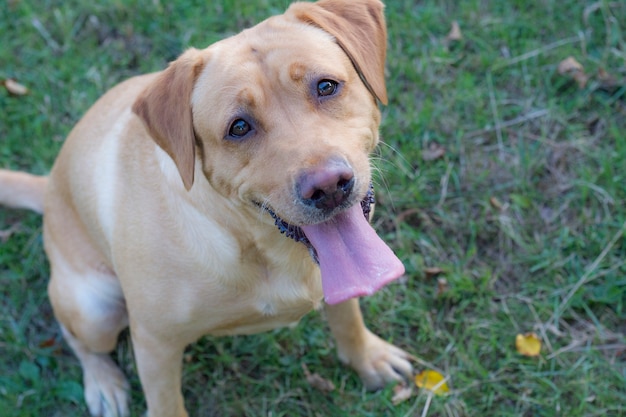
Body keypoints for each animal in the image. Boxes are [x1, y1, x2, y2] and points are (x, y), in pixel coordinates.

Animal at [0, 0, 412, 414]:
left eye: (326, 86)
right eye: (239, 127)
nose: (328, 187)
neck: (257, 244)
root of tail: (49, 184)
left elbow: (347, 315)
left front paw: (368, 357)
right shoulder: (154, 343)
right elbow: (166, 404)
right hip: (94, 311)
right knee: (78, 340)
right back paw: (103, 382)